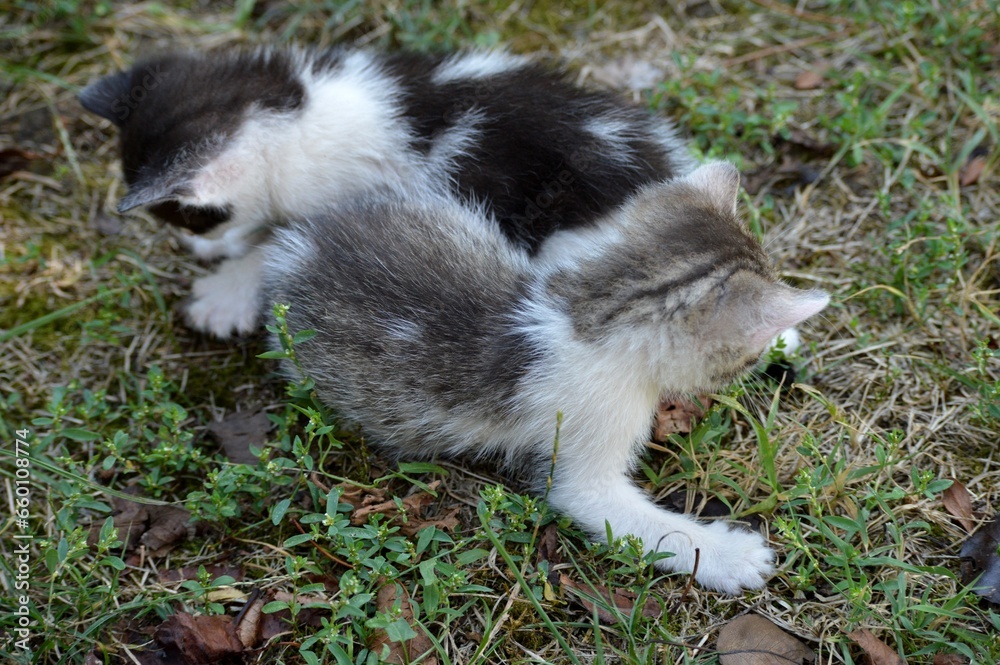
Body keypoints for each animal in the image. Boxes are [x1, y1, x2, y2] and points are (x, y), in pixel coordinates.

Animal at [80, 48, 696, 338]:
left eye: (189, 216)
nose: (195, 233)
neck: (292, 115)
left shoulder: (357, 193)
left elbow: (277, 240)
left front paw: (224, 293)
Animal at [264, 162, 828, 596]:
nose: (766, 350)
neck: (592, 312)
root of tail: (299, 242)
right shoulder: (590, 452)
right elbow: (635, 519)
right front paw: (726, 554)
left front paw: (788, 338)